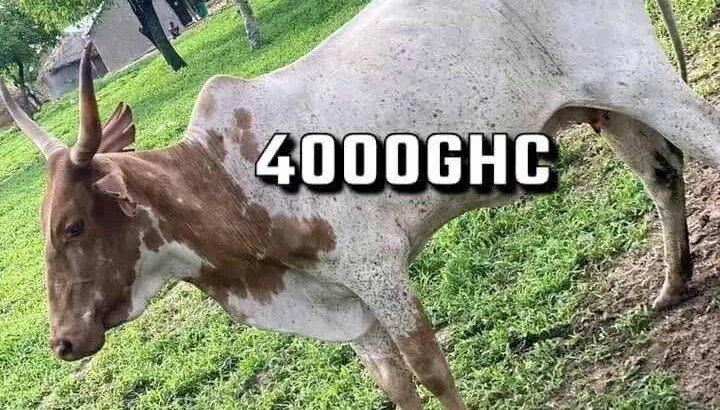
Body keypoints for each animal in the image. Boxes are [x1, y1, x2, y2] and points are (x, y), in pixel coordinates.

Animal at [2, 0, 719, 408]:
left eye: (73, 226)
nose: (64, 341)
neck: (228, 184)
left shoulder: (378, 271)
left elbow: (431, 372)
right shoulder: (348, 306)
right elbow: (396, 387)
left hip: (642, 82)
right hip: (605, 104)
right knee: (663, 175)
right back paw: (671, 286)